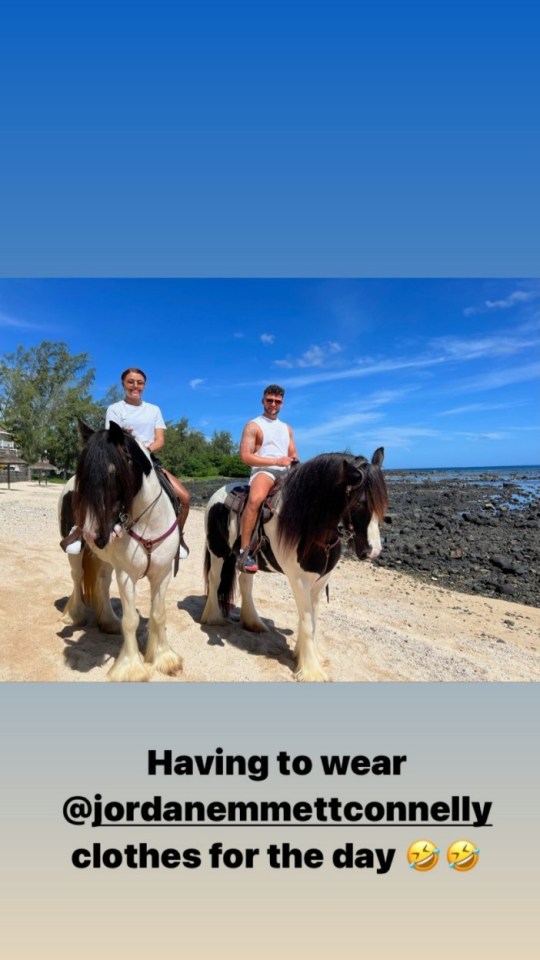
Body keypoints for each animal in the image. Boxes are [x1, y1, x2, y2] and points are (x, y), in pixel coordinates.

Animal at [58, 422, 182, 684]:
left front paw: (164, 659)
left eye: (113, 473)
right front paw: (131, 668)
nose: (92, 534)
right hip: (76, 554)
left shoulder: (163, 573)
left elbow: (159, 614)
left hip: (105, 560)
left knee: (102, 582)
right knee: (77, 577)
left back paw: (108, 622)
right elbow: (131, 620)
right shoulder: (127, 576)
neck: (147, 524)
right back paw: (75, 615)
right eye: (83, 476)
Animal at [202, 450, 388, 684]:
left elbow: (312, 620)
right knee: (214, 579)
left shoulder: (320, 581)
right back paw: (213, 618)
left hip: (247, 561)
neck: (309, 528)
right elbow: (307, 622)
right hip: (217, 551)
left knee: (245, 583)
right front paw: (311, 671)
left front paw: (306, 656)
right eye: (360, 502)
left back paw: (253, 623)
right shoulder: (299, 581)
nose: (373, 551)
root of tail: (218, 494)